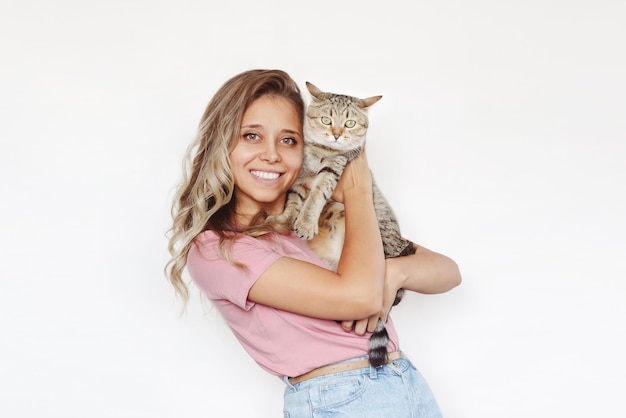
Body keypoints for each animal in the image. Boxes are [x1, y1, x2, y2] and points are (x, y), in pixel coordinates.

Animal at [270, 82, 412, 370]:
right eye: (326, 120)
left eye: (349, 123)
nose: (336, 135)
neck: (321, 152)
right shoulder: (298, 181)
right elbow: (293, 203)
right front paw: (285, 220)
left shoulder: (333, 171)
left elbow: (315, 197)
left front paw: (306, 222)